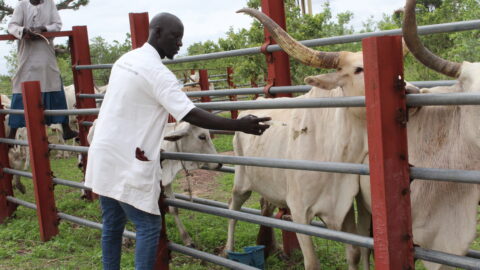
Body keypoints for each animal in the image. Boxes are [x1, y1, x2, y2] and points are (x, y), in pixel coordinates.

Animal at [88, 120, 221, 247]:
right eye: (202, 136)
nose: (219, 164)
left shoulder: (167, 181)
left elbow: (174, 209)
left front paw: (187, 240)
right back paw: (125, 238)